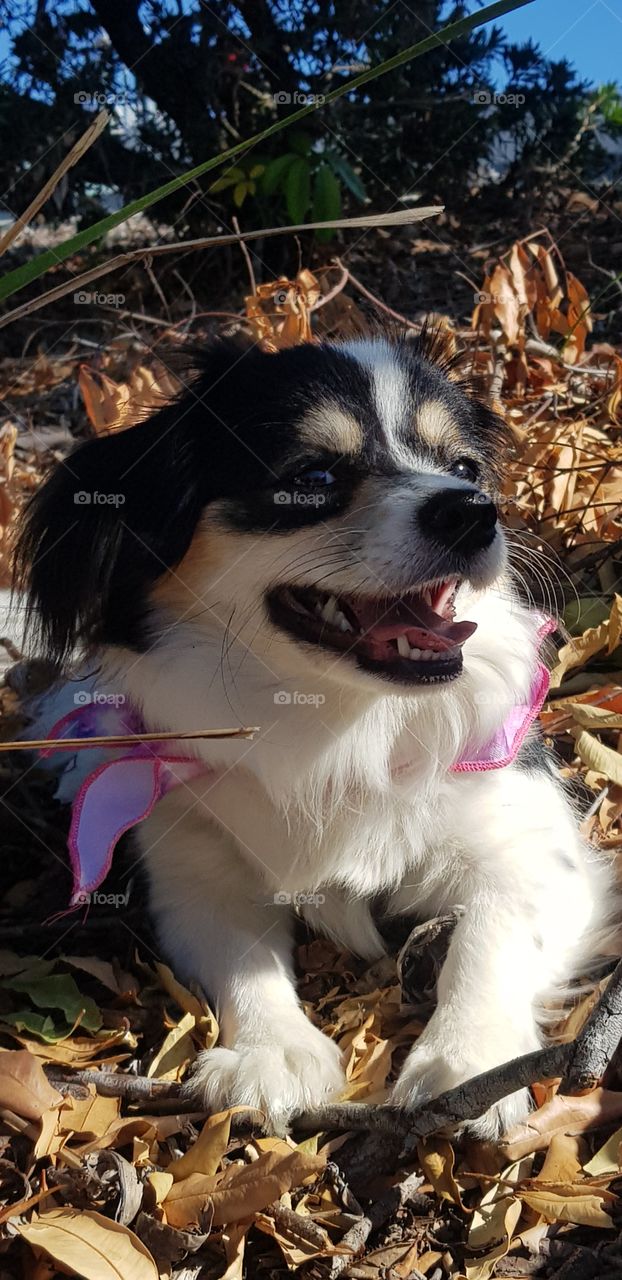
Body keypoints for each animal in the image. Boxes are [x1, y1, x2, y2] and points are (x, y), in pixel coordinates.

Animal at [13, 332, 606, 1141]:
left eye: (463, 469)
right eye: (314, 477)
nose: (472, 512)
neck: (343, 720)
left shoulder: (535, 849)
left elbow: (487, 943)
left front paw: (467, 1063)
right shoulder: (193, 862)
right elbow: (243, 956)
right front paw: (275, 1054)